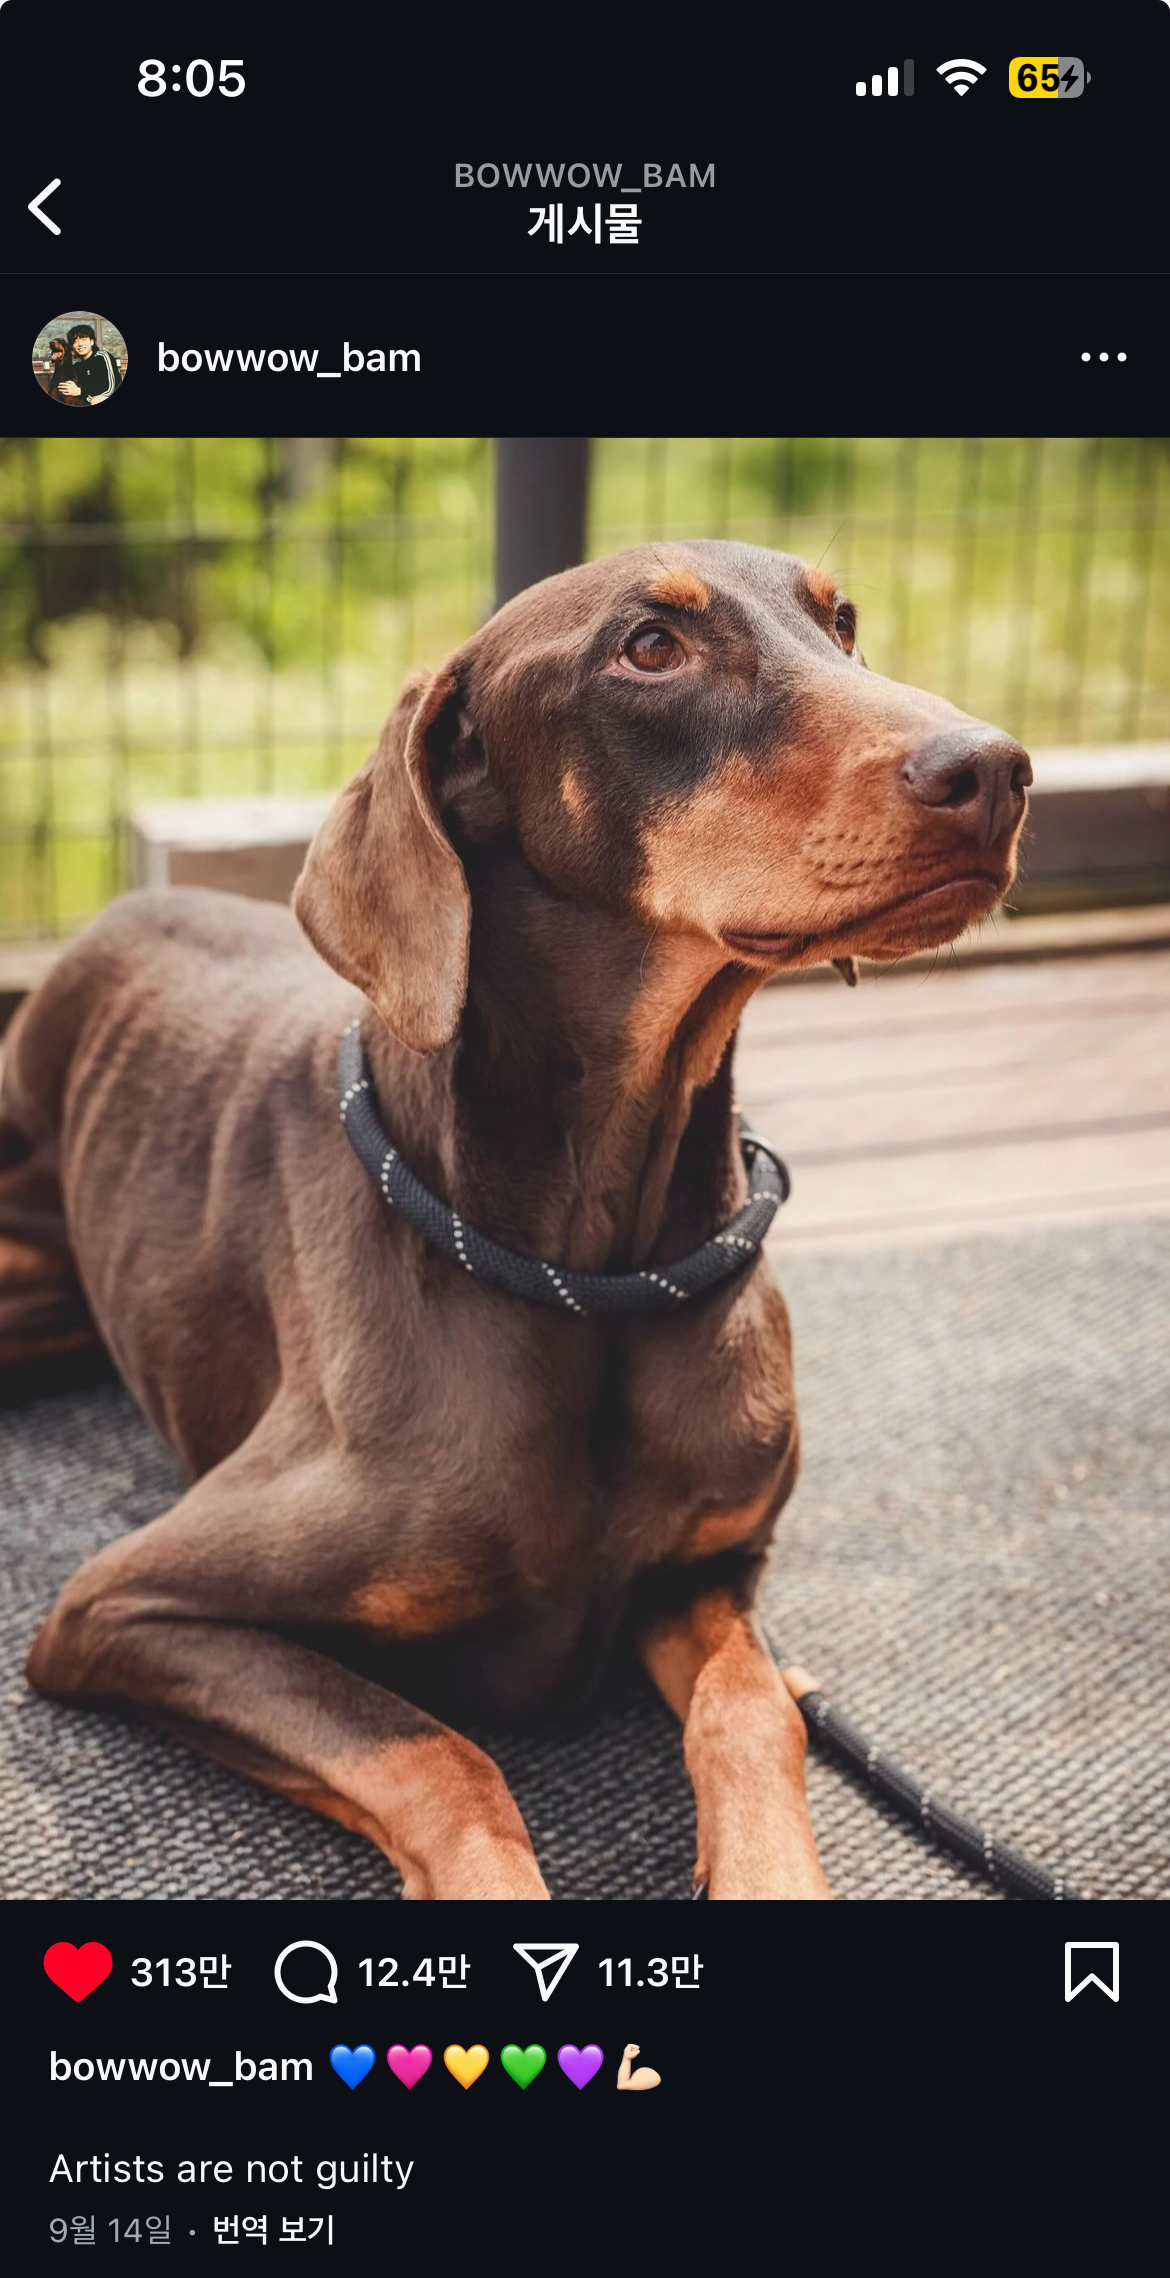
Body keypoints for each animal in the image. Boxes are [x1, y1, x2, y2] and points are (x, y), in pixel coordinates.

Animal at [0, 542, 1024, 1895]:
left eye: (842, 617)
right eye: (650, 646)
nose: (996, 769)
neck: (592, 1273)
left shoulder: (709, 1568)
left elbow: (757, 1706)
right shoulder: (125, 1605)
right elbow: (443, 1753)